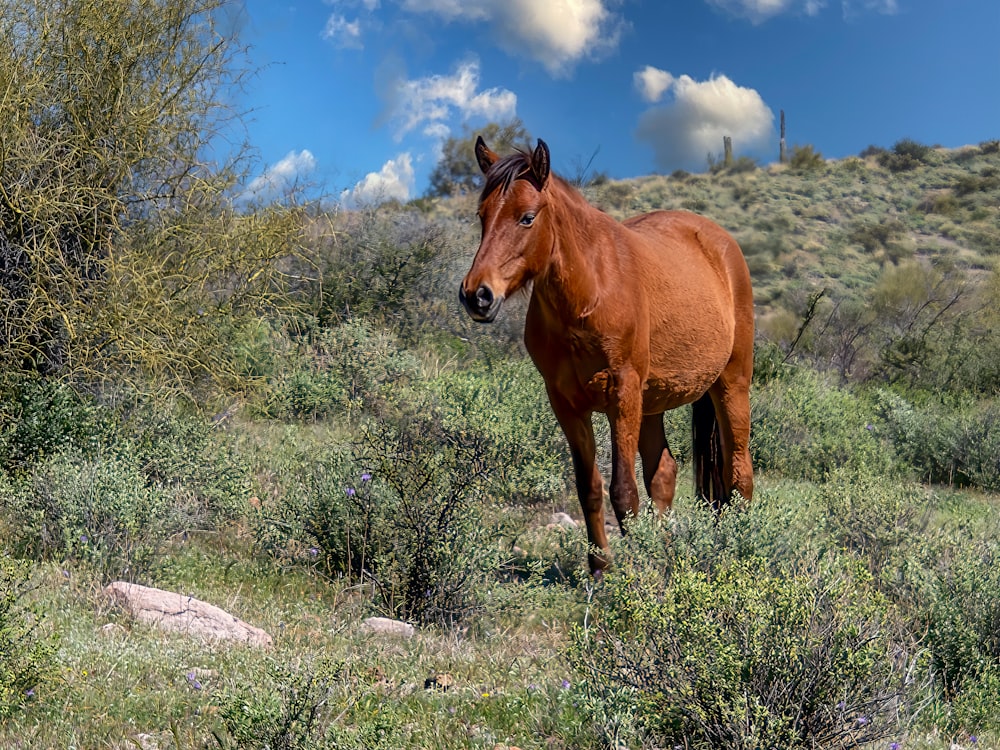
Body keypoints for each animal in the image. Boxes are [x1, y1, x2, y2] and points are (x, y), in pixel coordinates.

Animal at [458, 138, 752, 572]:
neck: (590, 292)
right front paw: (601, 568)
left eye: (527, 217)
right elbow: (590, 488)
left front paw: (634, 572)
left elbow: (624, 492)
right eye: (482, 216)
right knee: (664, 475)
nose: (476, 295)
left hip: (730, 385)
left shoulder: (622, 394)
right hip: (653, 404)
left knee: (739, 475)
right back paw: (666, 552)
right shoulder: (566, 404)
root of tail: (722, 244)